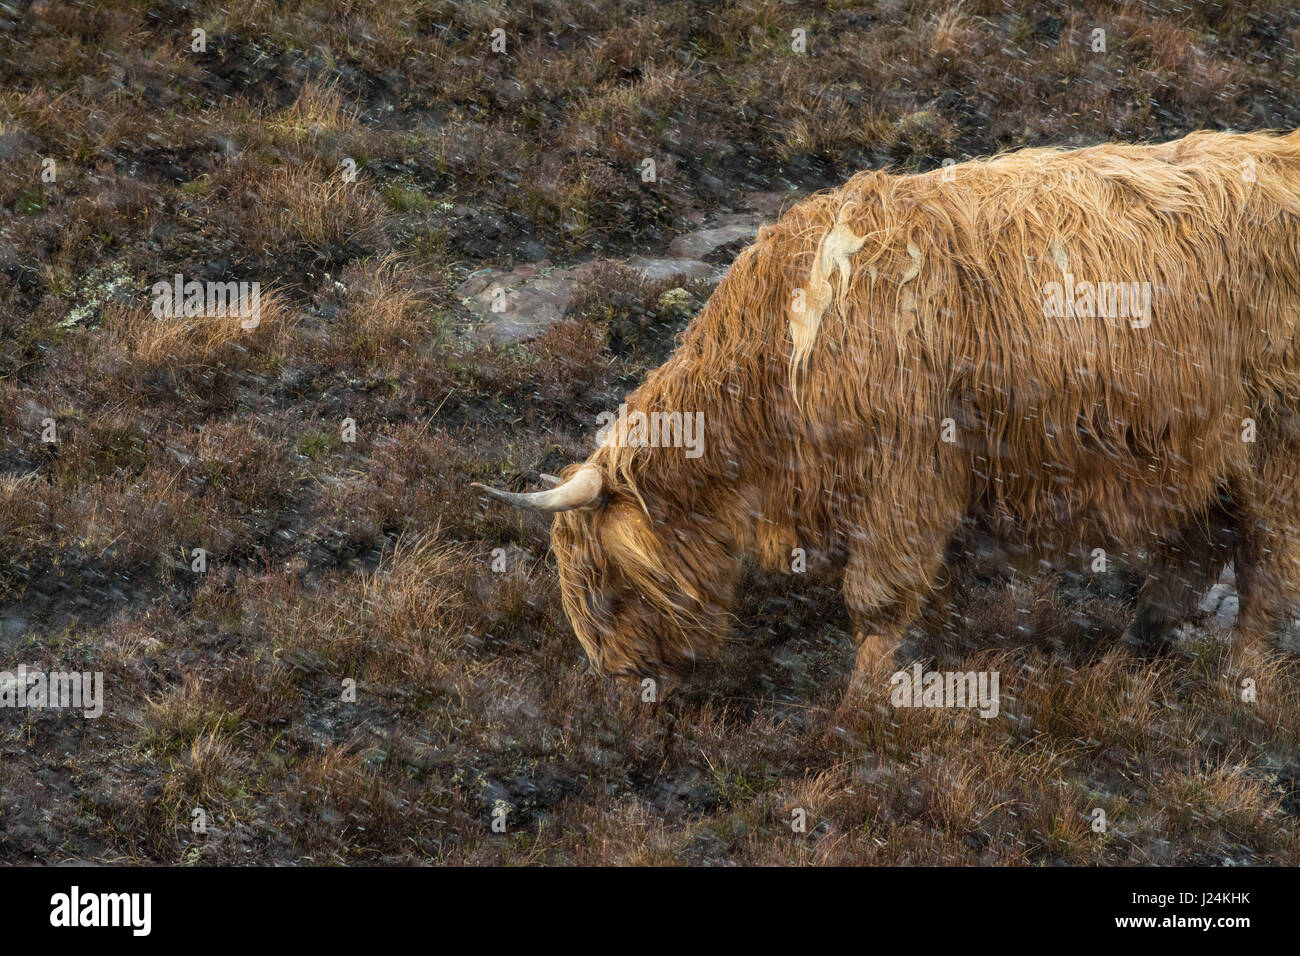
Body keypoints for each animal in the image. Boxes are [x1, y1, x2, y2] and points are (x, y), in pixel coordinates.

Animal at [474, 129, 1300, 698]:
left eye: (604, 585)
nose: (622, 681)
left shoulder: (907, 472)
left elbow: (877, 599)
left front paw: (858, 710)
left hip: (1275, 442)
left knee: (1266, 559)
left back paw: (1238, 678)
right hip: (1200, 445)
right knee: (1200, 544)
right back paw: (1135, 649)